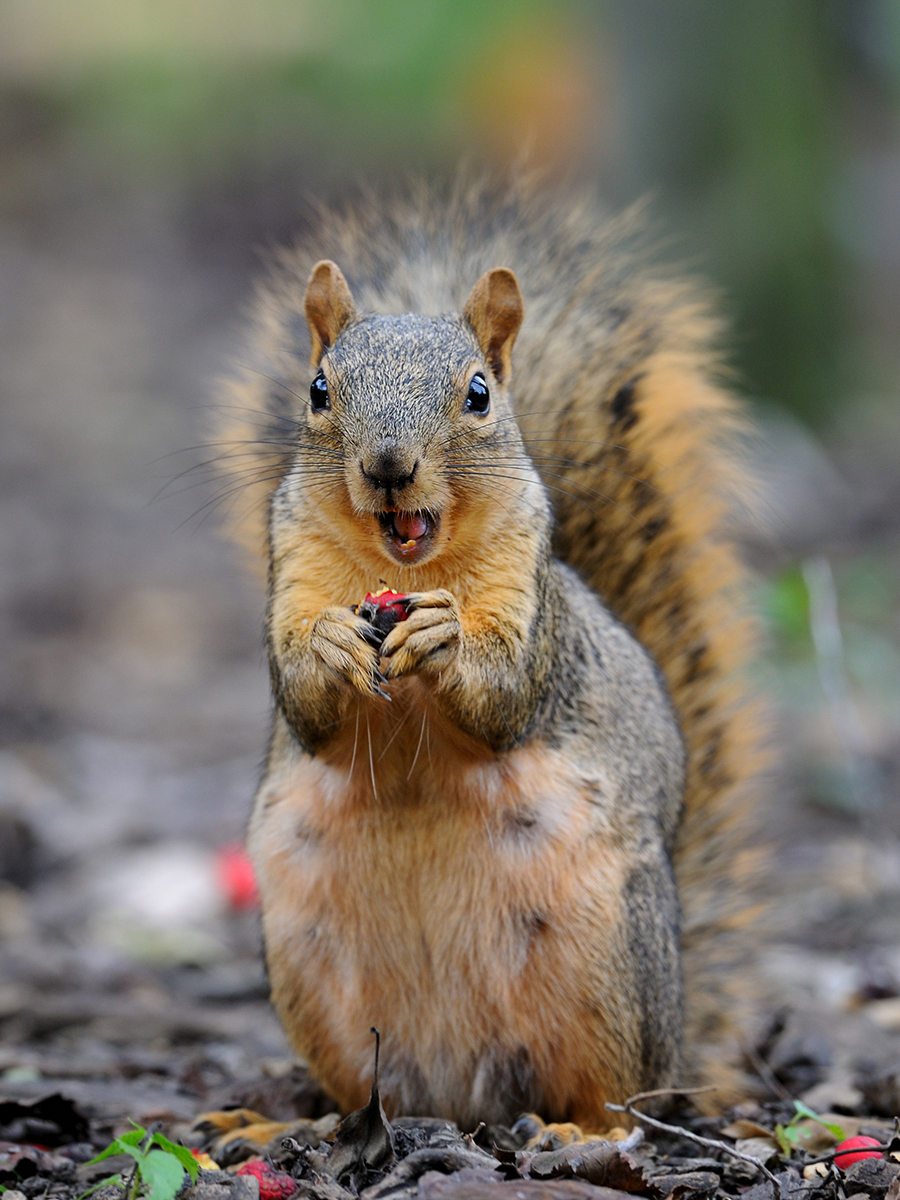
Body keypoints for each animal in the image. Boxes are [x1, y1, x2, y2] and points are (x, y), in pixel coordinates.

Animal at [211, 177, 765, 1138]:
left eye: (477, 393)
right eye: (318, 389)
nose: (389, 466)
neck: (408, 568)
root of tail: (463, 1097)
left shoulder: (531, 612)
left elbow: (505, 698)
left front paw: (443, 638)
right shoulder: (294, 569)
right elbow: (303, 702)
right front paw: (328, 643)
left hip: (612, 965)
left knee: (612, 1097)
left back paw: (579, 1128)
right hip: (308, 968)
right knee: (361, 1093)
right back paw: (291, 1123)